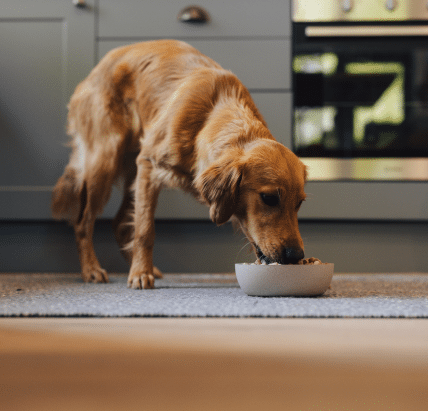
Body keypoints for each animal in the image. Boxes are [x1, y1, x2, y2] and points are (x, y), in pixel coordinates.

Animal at [52, 39, 308, 290]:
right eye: (269, 198)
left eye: (299, 204)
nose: (295, 255)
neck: (209, 116)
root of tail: (97, 68)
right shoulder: (149, 165)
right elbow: (145, 230)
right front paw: (140, 274)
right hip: (105, 161)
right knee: (83, 222)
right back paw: (92, 270)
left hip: (132, 172)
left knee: (120, 224)